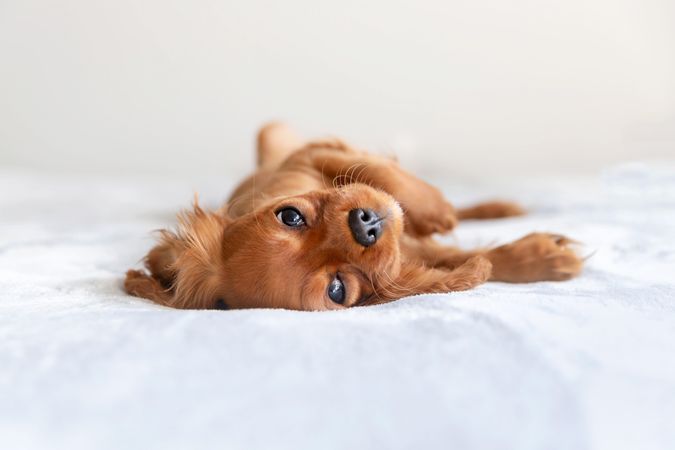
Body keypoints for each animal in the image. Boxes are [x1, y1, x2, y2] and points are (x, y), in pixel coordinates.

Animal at [124, 125, 584, 312]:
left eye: (289, 216)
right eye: (337, 289)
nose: (367, 224)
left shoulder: (309, 155)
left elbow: (380, 174)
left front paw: (434, 208)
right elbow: (470, 260)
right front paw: (543, 259)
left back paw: (492, 207)